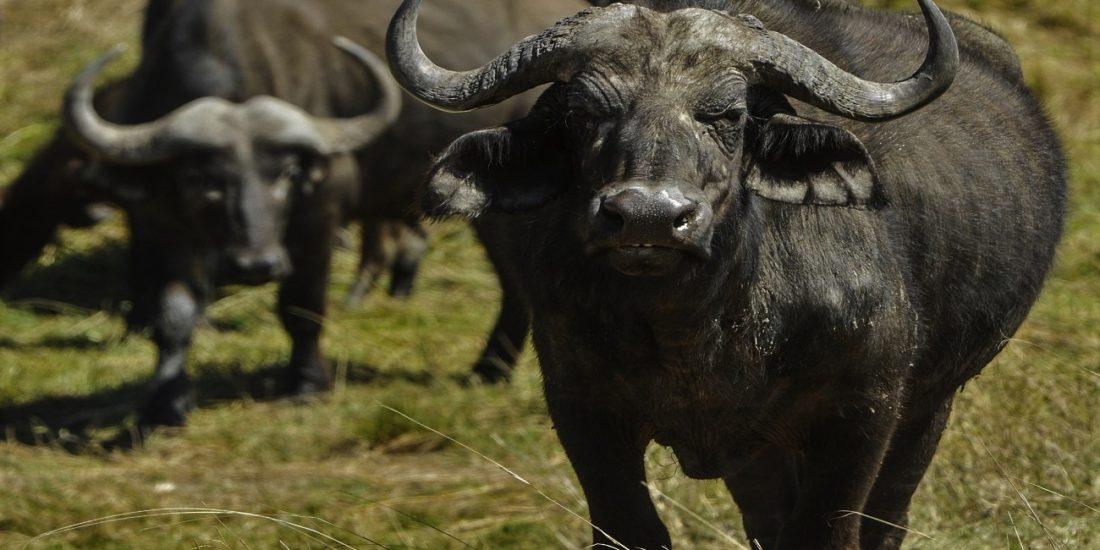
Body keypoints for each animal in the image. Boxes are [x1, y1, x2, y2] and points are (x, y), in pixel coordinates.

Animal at [387, 0, 1065, 548]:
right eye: (583, 113)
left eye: (728, 114)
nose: (649, 217)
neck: (699, 331)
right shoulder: (581, 407)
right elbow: (632, 530)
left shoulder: (863, 412)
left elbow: (827, 532)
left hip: (931, 404)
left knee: (886, 520)